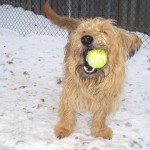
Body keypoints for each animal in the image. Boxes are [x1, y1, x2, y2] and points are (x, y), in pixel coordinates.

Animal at [43, 1, 142, 139]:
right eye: (84, 31)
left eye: (104, 31)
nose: (86, 38)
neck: (92, 80)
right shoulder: (70, 88)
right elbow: (68, 110)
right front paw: (64, 128)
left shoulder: (107, 96)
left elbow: (101, 114)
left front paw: (99, 130)